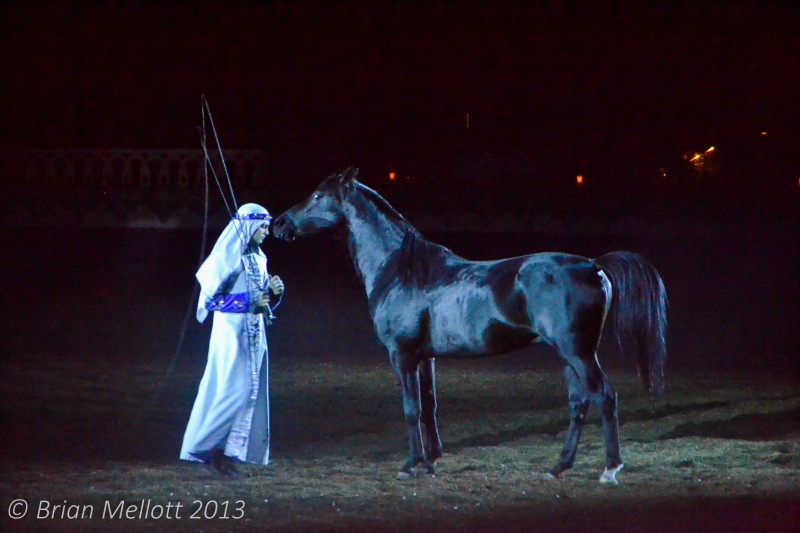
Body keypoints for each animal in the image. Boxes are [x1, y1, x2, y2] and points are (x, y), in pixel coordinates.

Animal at [276, 168, 668, 484]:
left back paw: (610, 469)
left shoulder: (401, 355)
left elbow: (410, 408)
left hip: (579, 353)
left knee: (605, 397)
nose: (280, 223)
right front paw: (430, 462)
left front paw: (409, 465)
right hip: (568, 355)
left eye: (318, 195)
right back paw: (558, 467)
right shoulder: (425, 358)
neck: (402, 270)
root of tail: (592, 265)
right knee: (578, 403)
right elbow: (429, 406)